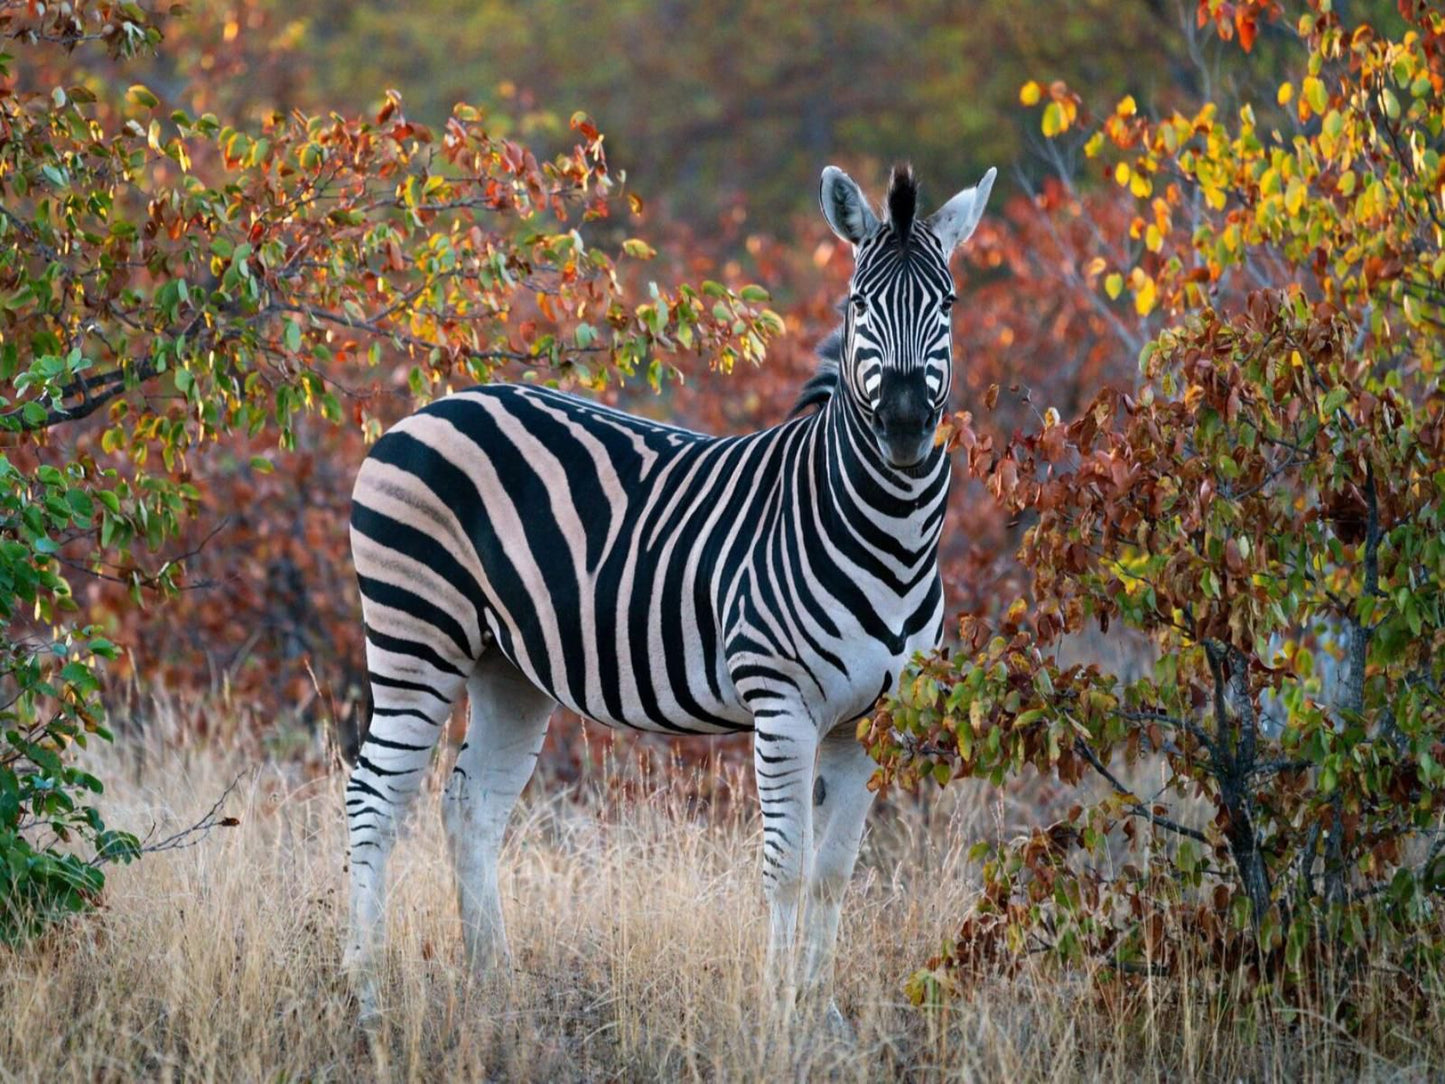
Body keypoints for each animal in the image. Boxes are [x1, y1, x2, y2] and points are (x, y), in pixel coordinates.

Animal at [341, 163, 994, 1029]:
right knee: (373, 799)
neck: (888, 534)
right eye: (859, 303)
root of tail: (430, 407)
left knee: (469, 809)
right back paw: (367, 997)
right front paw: (774, 1015)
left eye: (946, 304)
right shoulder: (782, 703)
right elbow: (785, 865)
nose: (905, 423)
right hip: (416, 632)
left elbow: (833, 871)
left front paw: (821, 1016)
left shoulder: (868, 720)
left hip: (505, 665)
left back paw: (496, 990)